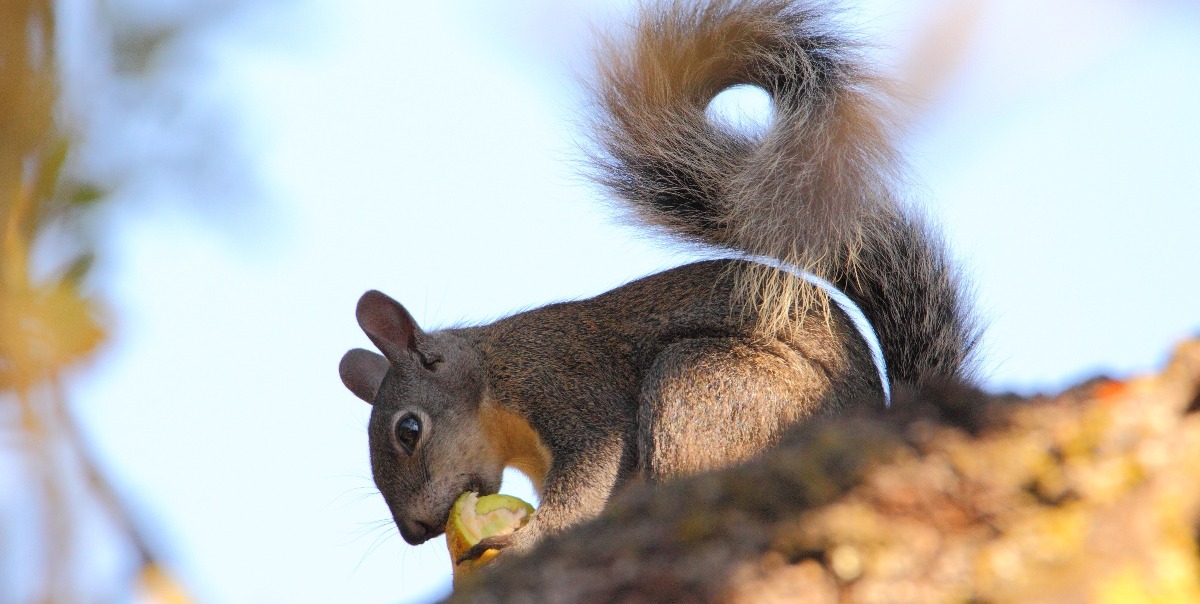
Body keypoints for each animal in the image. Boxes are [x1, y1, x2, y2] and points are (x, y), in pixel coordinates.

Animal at [336, 0, 974, 561]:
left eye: (408, 430)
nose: (415, 533)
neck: (493, 380)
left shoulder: (568, 388)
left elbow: (589, 480)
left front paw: (526, 540)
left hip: (705, 386)